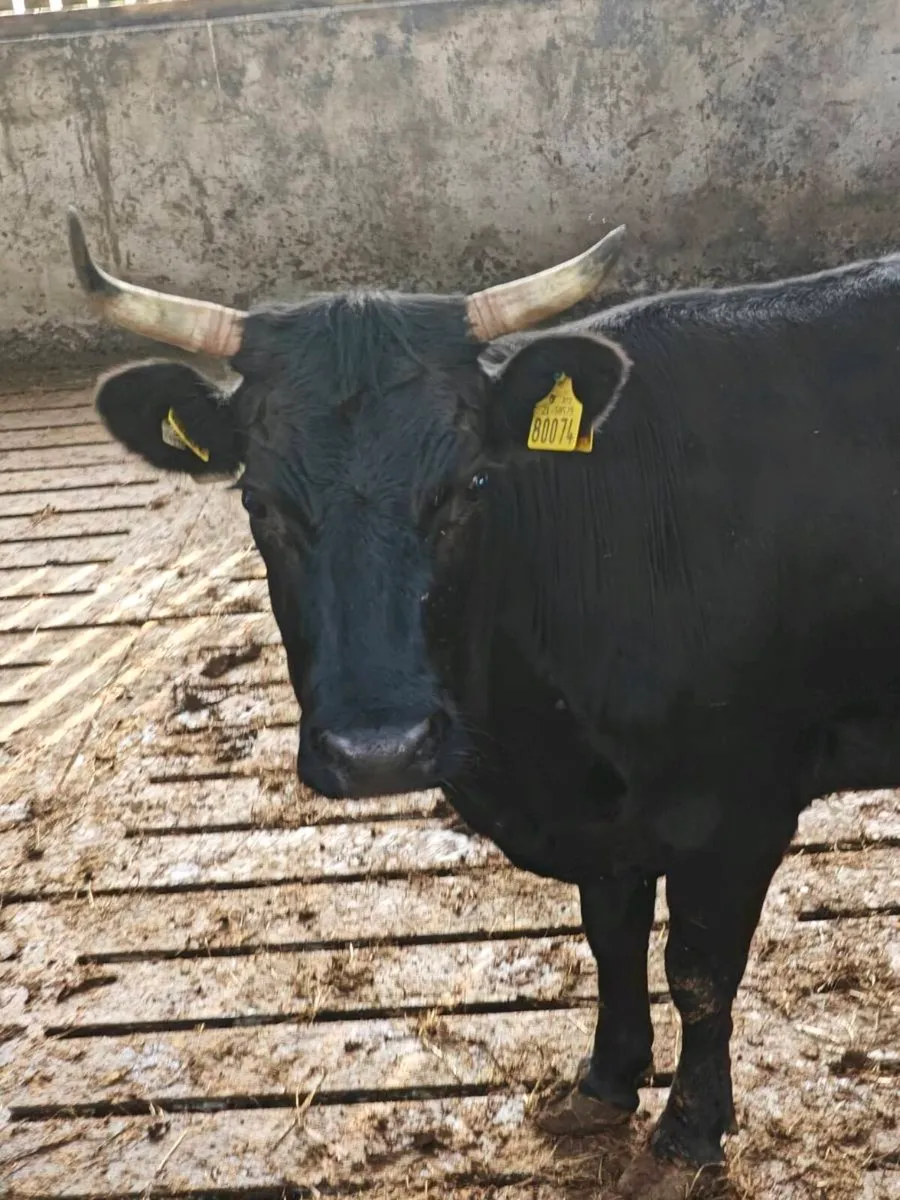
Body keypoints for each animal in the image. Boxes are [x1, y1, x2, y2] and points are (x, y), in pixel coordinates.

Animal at [66, 206, 900, 1198]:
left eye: (469, 486)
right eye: (257, 502)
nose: (379, 749)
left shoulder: (737, 803)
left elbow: (697, 969)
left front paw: (691, 1128)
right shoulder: (602, 814)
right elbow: (610, 934)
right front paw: (603, 1083)